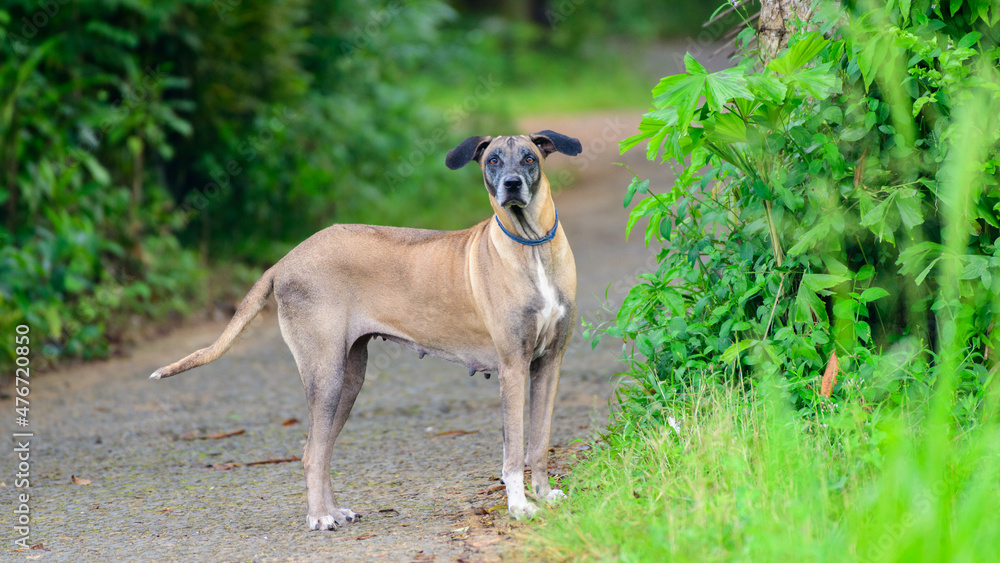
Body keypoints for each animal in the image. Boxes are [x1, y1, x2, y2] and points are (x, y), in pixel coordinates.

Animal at [151, 130, 584, 532]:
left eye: (529, 158)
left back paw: (334, 510)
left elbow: (539, 441)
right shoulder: (513, 367)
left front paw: (544, 495)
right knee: (312, 452)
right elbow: (513, 450)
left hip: (349, 378)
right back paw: (319, 516)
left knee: (320, 448)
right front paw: (520, 506)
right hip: (326, 374)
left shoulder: (549, 364)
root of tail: (284, 261)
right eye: (493, 160)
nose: (511, 184)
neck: (531, 246)